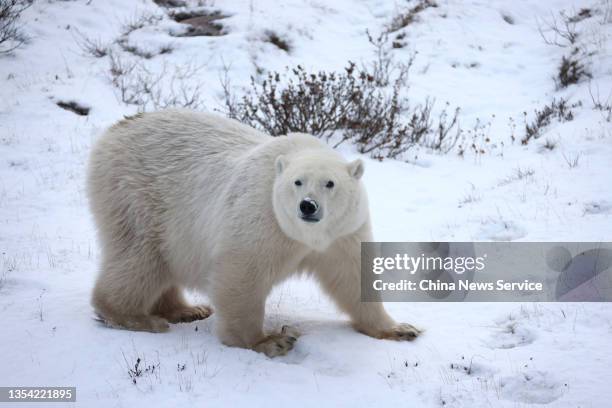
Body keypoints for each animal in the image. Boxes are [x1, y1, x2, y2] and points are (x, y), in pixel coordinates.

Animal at [87, 110, 420, 356]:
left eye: (330, 183)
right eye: (297, 182)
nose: (307, 206)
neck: (304, 235)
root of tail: (115, 130)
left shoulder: (342, 233)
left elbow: (352, 276)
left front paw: (400, 329)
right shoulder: (262, 215)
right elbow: (242, 272)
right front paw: (269, 340)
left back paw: (187, 310)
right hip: (136, 196)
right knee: (140, 258)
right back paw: (136, 317)